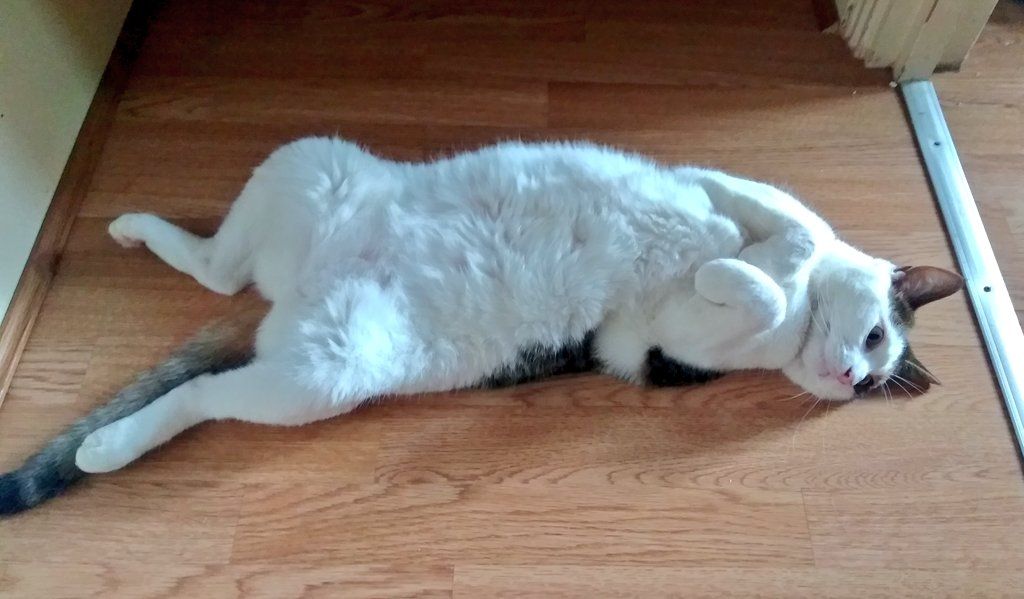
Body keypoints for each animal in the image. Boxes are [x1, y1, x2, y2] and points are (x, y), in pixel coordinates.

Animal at [0, 138, 962, 515]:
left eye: (875, 376)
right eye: (879, 338)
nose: (850, 378)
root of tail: (299, 288)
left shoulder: (663, 344)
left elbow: (752, 291)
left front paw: (734, 274)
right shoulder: (728, 185)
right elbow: (787, 231)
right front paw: (748, 259)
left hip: (322, 370)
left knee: (203, 374)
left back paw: (108, 445)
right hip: (310, 163)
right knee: (215, 271)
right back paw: (133, 229)